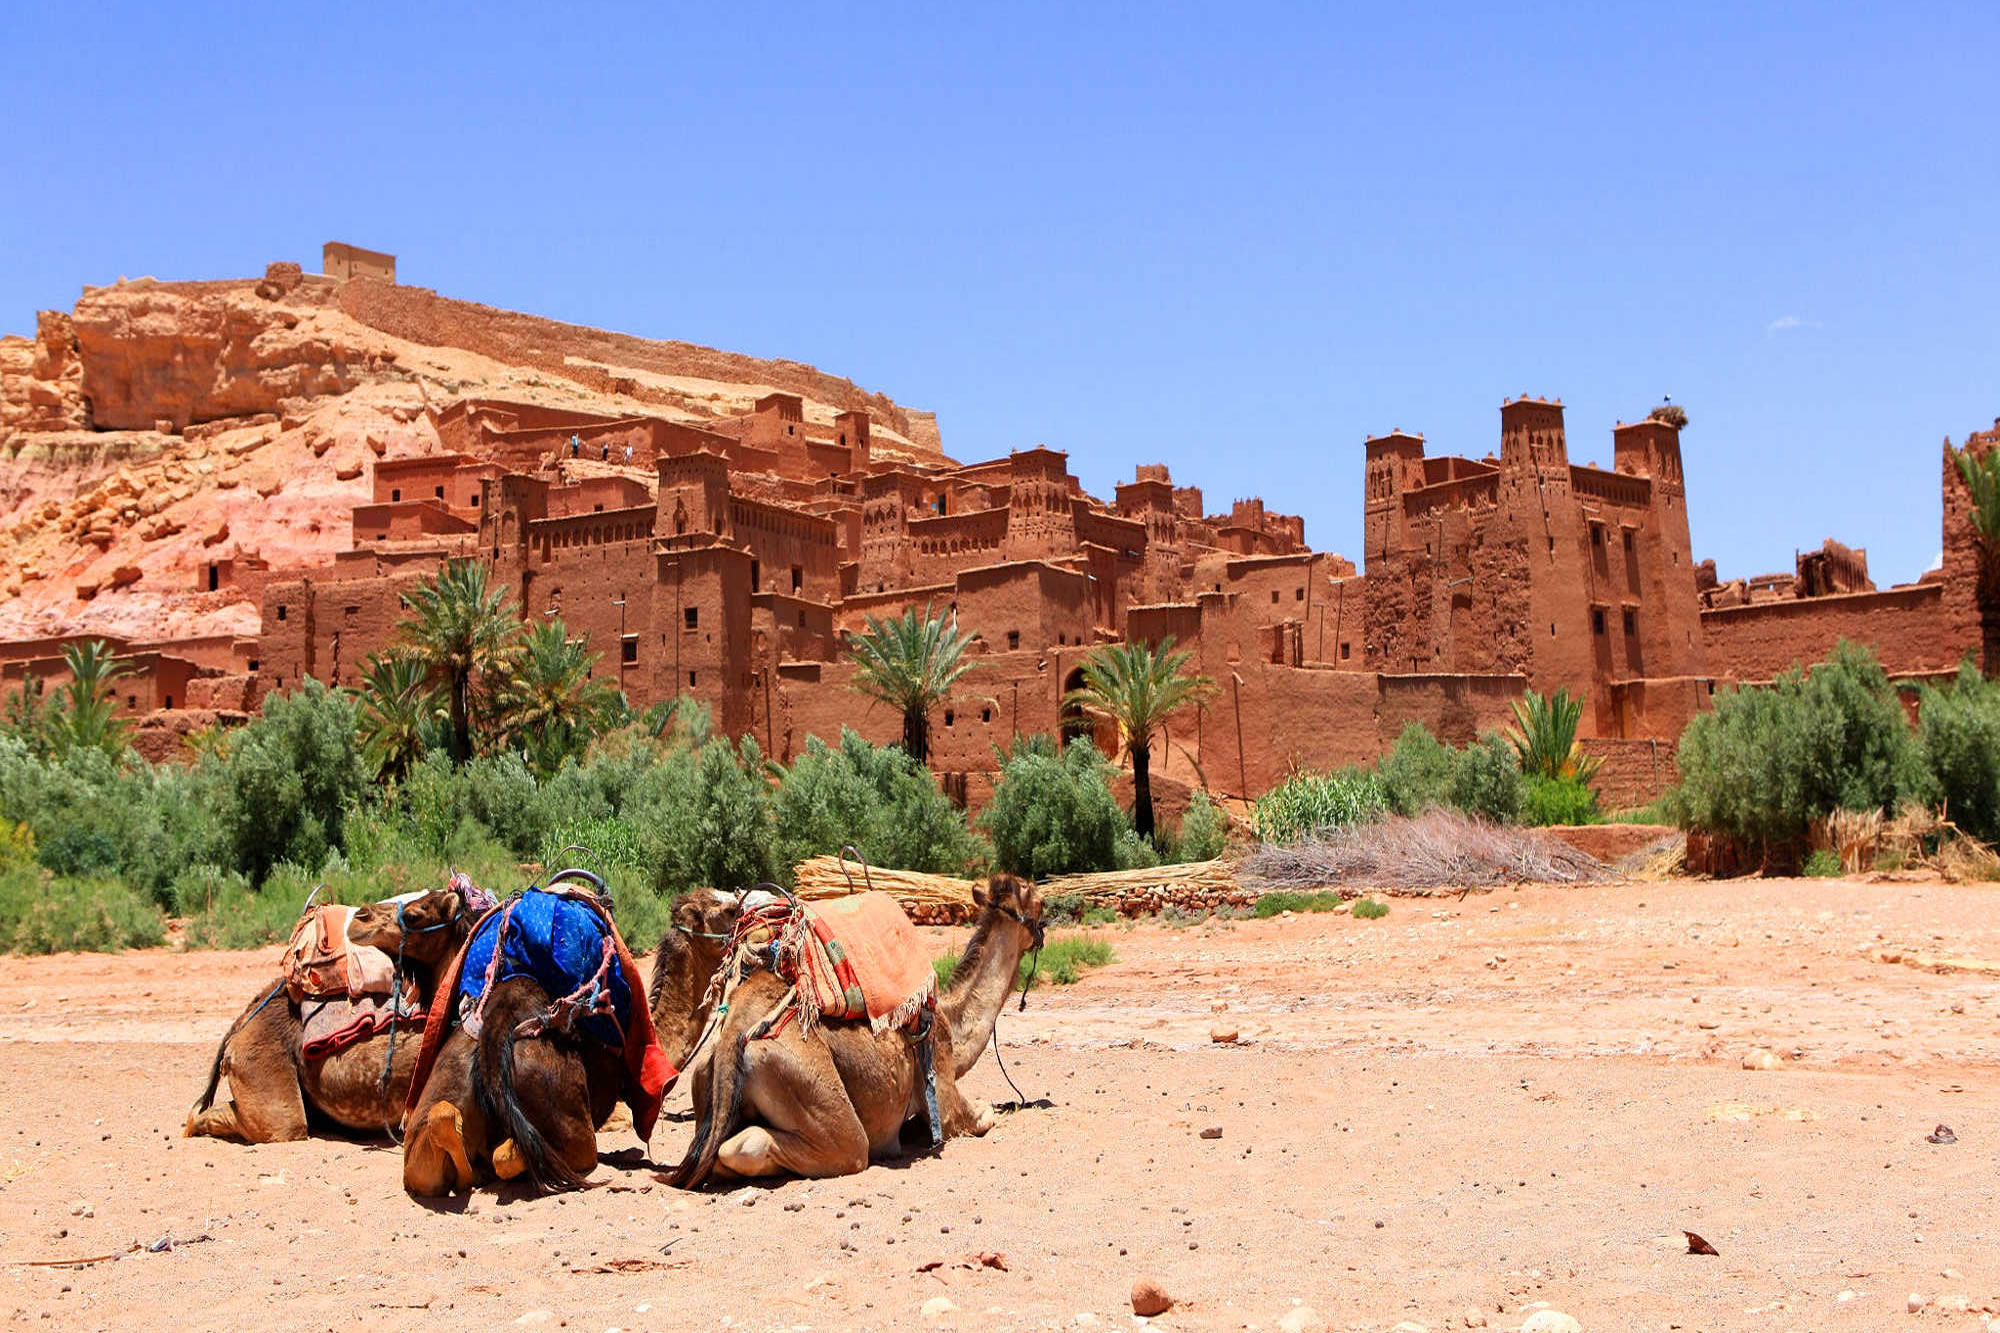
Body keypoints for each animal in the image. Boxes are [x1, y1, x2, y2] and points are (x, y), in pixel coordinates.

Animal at [402, 888, 748, 1184]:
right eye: (730, 910)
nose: (749, 911)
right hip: (566, 1114)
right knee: (516, 1155)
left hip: (438, 1097)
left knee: (438, 1136)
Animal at [668, 872, 1048, 1184]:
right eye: (1038, 901)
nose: (1048, 917)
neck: (952, 1025)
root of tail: (732, 1033)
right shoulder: (944, 1096)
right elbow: (983, 1116)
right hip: (805, 1084)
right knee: (816, 1146)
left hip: (704, 1075)